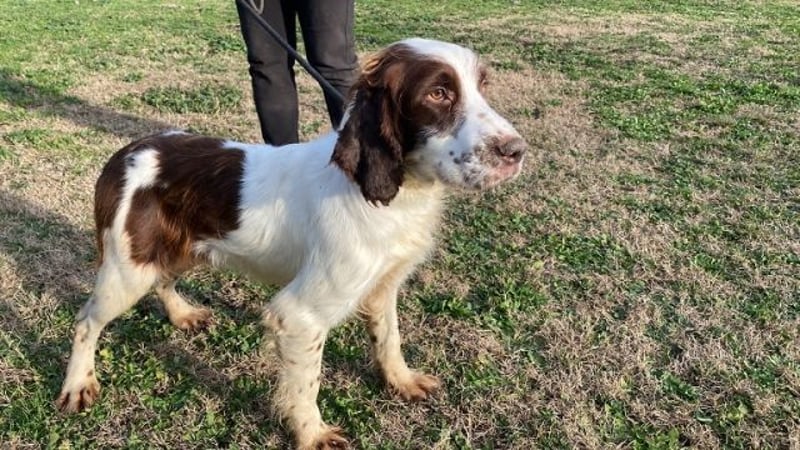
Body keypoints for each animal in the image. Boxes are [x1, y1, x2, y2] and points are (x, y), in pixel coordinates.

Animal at [57, 38, 526, 449]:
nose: (517, 151)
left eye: (483, 85)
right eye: (438, 93)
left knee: (163, 281)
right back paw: (78, 384)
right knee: (86, 321)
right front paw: (312, 434)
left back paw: (183, 314)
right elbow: (307, 384)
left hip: (176, 248)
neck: (381, 191)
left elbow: (389, 339)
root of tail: (128, 152)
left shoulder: (382, 285)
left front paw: (402, 381)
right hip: (128, 267)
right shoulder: (300, 315)